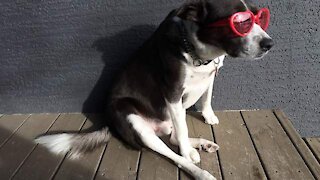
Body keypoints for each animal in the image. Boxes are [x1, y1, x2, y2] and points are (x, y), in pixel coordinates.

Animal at [36, 0, 274, 179]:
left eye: (259, 17)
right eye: (241, 22)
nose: (269, 44)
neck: (200, 52)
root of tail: (110, 124)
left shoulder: (210, 74)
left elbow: (206, 97)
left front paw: (208, 116)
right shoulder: (173, 93)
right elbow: (183, 135)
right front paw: (189, 153)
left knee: (174, 137)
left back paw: (202, 145)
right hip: (135, 121)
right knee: (174, 152)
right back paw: (200, 170)